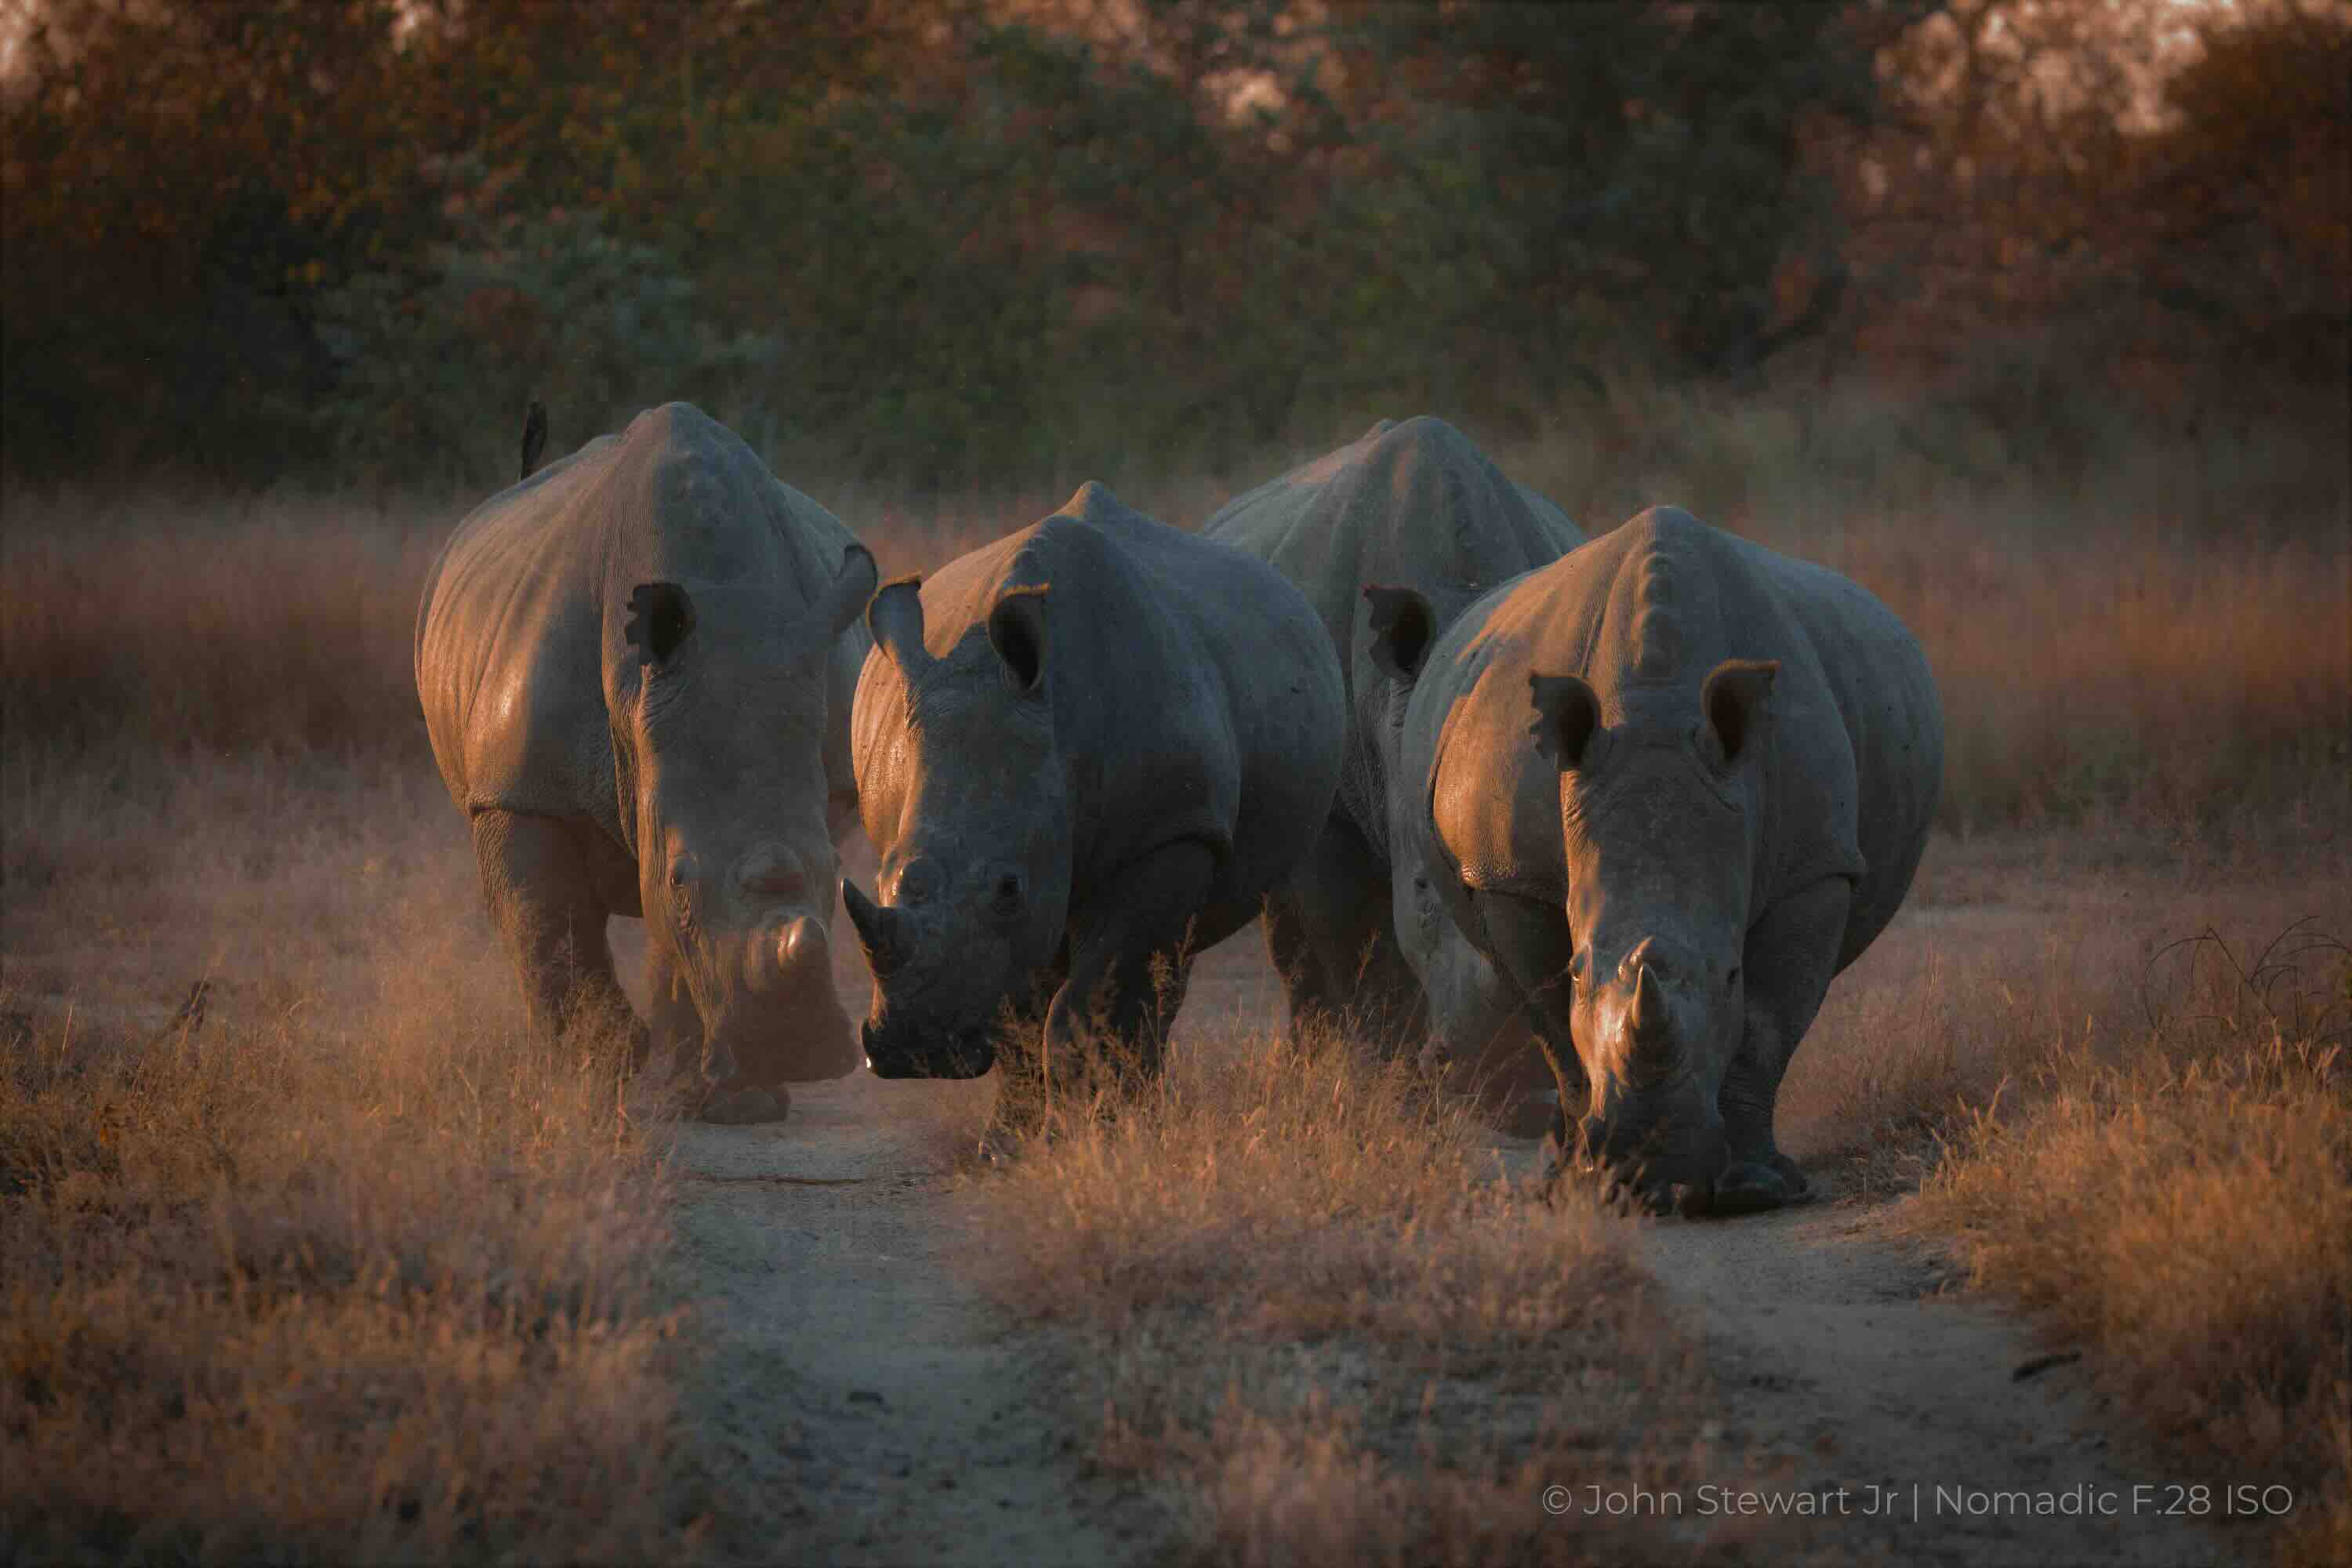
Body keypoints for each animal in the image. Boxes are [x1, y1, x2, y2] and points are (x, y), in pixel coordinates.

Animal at [416, 402, 878, 1124]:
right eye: (682, 880)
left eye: (837, 873)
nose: (793, 1051)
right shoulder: (520, 790)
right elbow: (549, 924)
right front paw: (595, 1077)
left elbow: (675, 941)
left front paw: (730, 1102)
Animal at [843, 482, 1345, 1131]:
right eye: (881, 880)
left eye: (1008, 889)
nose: (912, 1050)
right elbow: (1022, 1018)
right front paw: (1015, 1141)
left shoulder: (1170, 833)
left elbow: (1088, 1003)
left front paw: (1100, 1129)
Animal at [1373, 506, 1943, 1214]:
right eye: (1579, 972)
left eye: (1730, 974)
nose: (1653, 1169)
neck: (1652, 705)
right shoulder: (1511, 874)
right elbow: (1553, 1025)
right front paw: (1580, 1183)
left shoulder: (1814, 866)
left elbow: (1767, 1026)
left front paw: (1753, 1187)